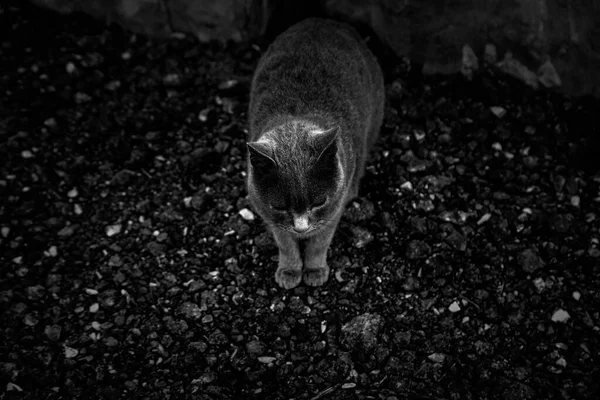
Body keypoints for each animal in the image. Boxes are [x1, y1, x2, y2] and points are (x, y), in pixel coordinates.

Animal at [247, 17, 384, 290]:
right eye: (280, 205)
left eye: (319, 201)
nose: (301, 228)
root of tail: (324, 20)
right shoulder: (268, 213)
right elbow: (285, 243)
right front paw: (289, 271)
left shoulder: (333, 208)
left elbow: (320, 242)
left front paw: (315, 269)